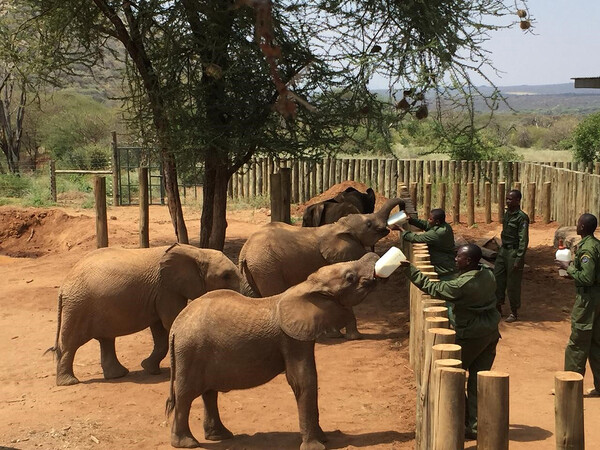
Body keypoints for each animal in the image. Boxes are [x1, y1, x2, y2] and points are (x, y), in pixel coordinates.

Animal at [46, 243, 241, 386]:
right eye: (226, 276)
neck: (197, 251)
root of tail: (63, 286)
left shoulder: (160, 292)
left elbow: (160, 329)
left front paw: (149, 369)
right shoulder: (166, 289)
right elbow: (169, 321)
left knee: (106, 340)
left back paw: (118, 375)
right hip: (78, 306)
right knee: (72, 343)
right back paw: (69, 383)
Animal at [164, 251, 380, 448]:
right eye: (350, 277)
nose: (375, 255)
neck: (307, 285)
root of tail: (175, 328)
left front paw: (324, 438)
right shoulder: (290, 339)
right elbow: (303, 380)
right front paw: (316, 446)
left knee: (209, 392)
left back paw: (220, 436)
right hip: (190, 350)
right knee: (186, 394)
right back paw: (187, 443)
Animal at [239, 197, 404, 338]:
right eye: (369, 224)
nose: (403, 210)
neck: (339, 227)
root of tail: (246, 250)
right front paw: (350, 336)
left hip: (253, 269)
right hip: (267, 268)